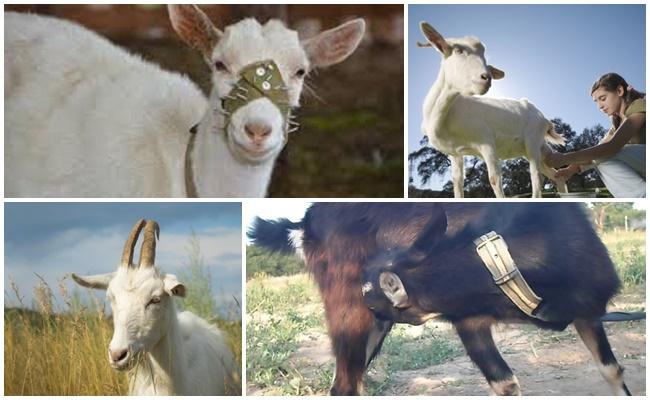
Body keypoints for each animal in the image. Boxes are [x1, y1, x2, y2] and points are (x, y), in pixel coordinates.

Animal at [250, 203, 632, 395]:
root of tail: (305, 221)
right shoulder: (469, 320)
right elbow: (506, 384)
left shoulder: (588, 312)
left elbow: (612, 370)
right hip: (348, 311)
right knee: (345, 384)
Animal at [418, 23, 567, 198]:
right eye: (458, 50)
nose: (486, 77)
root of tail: (543, 118)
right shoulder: (455, 153)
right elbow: (458, 183)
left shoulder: (486, 141)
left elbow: (494, 179)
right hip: (536, 147)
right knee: (556, 173)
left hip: (533, 140)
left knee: (537, 176)